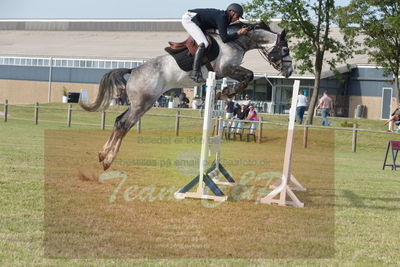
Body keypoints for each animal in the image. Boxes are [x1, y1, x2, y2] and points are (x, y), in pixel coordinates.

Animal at [80, 21, 294, 172]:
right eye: (284, 50)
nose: (290, 72)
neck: (237, 41)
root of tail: (133, 70)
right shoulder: (226, 69)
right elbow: (248, 75)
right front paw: (227, 92)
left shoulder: (225, 72)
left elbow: (247, 77)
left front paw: (224, 92)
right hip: (143, 103)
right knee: (124, 125)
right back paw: (108, 160)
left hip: (139, 104)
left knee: (119, 121)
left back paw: (102, 154)